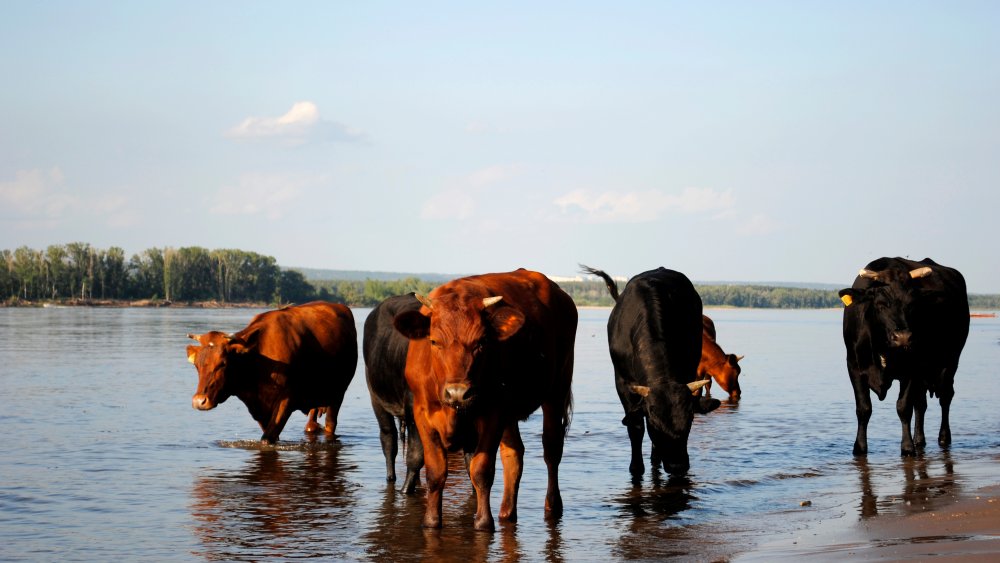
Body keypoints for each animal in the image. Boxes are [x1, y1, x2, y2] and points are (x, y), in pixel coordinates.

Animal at [188, 302, 360, 448]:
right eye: (196, 365)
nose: (199, 401)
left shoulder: (287, 399)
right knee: (311, 425)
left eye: (223, 363)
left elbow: (267, 439)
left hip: (338, 393)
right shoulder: (258, 408)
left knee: (331, 423)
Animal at [392, 270, 580, 532]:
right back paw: (506, 513)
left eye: (481, 342)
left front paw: (483, 522)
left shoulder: (493, 413)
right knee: (514, 455)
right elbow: (435, 471)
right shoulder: (422, 413)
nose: (458, 393)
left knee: (552, 450)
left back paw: (552, 507)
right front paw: (431, 521)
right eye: (434, 342)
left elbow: (481, 470)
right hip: (512, 410)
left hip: (556, 391)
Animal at [584, 266, 724, 478]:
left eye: (690, 419)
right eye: (655, 425)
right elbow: (635, 426)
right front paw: (636, 468)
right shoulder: (622, 383)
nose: (677, 466)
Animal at [836, 258, 968, 458]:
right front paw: (859, 448)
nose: (903, 337)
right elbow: (864, 408)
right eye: (881, 304)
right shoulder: (854, 366)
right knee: (921, 404)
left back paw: (944, 438)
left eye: (912, 304)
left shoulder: (912, 367)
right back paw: (919, 440)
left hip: (951, 360)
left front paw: (907, 447)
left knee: (945, 397)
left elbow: (903, 407)